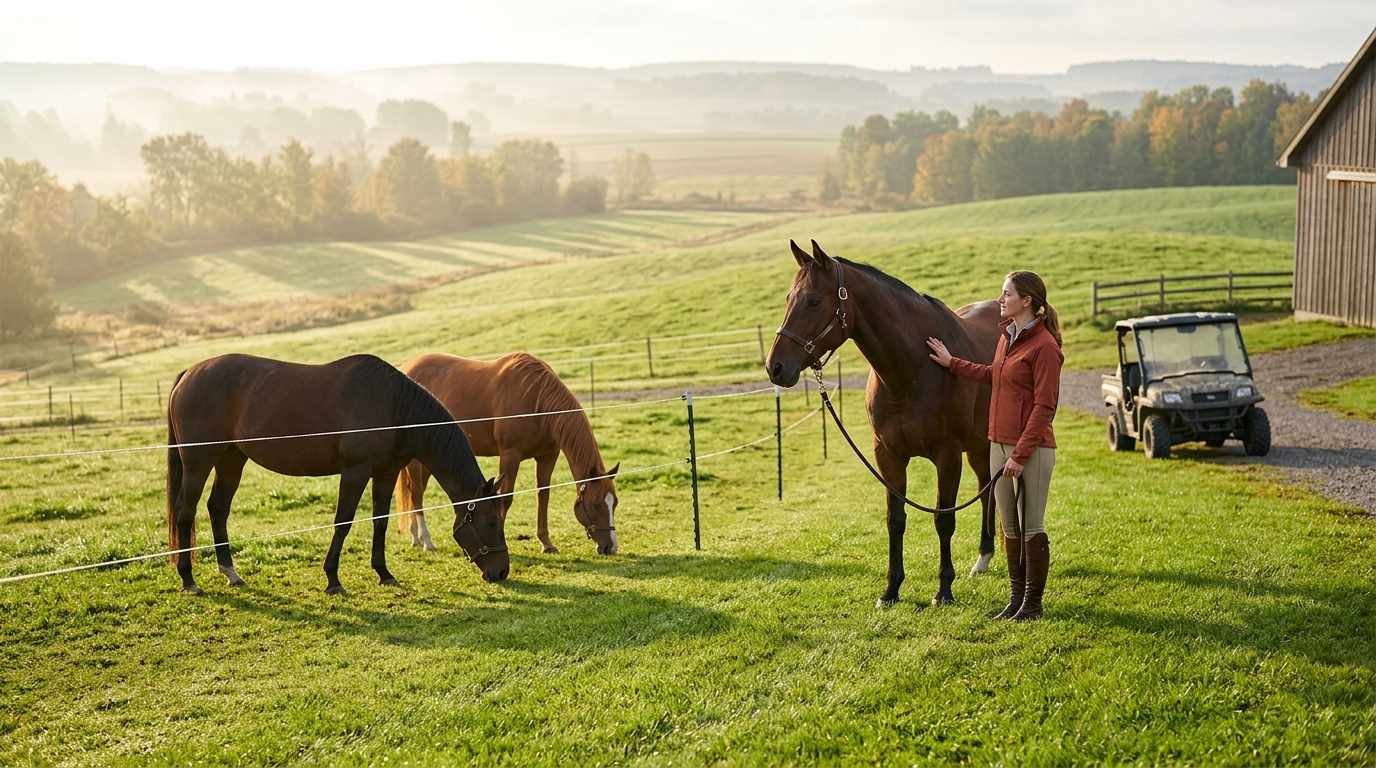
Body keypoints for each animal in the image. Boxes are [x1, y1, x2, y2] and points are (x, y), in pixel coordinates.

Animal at [166, 353, 509, 595]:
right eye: (491, 522)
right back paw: (188, 578)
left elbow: (380, 522)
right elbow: (343, 522)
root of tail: (188, 374)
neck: (393, 408)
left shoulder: (385, 473)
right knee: (185, 511)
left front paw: (384, 573)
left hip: (231, 459)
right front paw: (333, 579)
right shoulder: (355, 472)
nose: (502, 572)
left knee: (218, 509)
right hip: (198, 462)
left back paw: (230, 572)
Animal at [395, 351, 620, 555]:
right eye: (596, 504)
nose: (610, 547)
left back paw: (415, 538)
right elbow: (506, 497)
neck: (536, 401)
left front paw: (546, 543)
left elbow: (543, 496)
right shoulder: (510, 455)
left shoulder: (547, 456)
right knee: (416, 493)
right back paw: (426, 541)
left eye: (615, 503)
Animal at [767, 240, 1003, 608]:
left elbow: (944, 519)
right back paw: (983, 558)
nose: (774, 367)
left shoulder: (947, 455)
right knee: (985, 490)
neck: (913, 370)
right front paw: (891, 590)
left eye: (814, 301)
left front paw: (943, 591)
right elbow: (896, 520)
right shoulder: (888, 455)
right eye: (789, 298)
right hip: (977, 447)